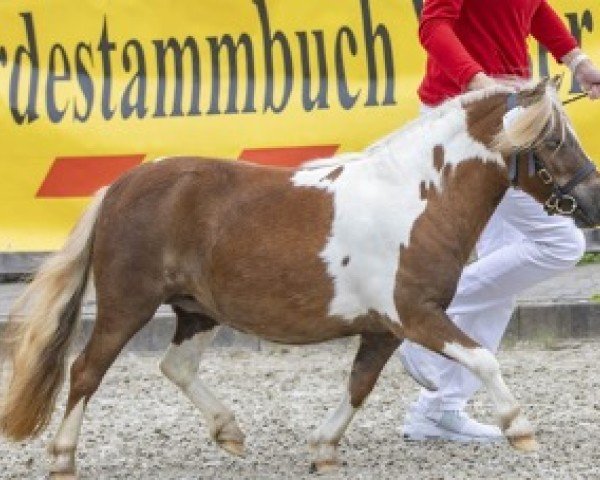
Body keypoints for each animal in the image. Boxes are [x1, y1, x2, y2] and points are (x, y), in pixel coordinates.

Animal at [1, 77, 600, 478]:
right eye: (552, 140)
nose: (593, 203)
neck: (417, 197)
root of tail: (120, 186)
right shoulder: (415, 315)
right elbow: (482, 357)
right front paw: (519, 429)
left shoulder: (384, 329)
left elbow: (360, 385)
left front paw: (323, 447)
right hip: (129, 304)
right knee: (85, 371)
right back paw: (62, 457)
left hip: (196, 309)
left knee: (175, 366)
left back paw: (229, 431)